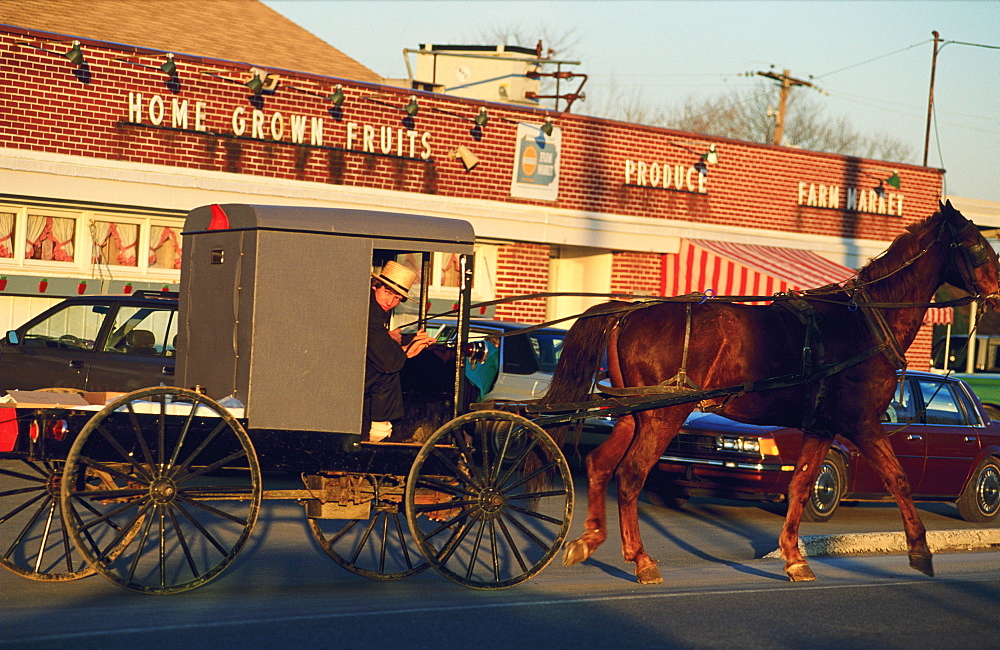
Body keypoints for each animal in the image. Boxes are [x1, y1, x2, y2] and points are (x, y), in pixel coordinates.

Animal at [544, 201, 1000, 584]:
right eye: (977, 246)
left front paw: (794, 558)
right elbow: (899, 479)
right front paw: (920, 550)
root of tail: (627, 312)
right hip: (663, 415)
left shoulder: (822, 427)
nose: (997, 298)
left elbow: (801, 485)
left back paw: (591, 539)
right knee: (632, 474)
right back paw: (641, 560)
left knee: (600, 464)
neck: (866, 321)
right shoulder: (862, 423)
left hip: (633, 414)